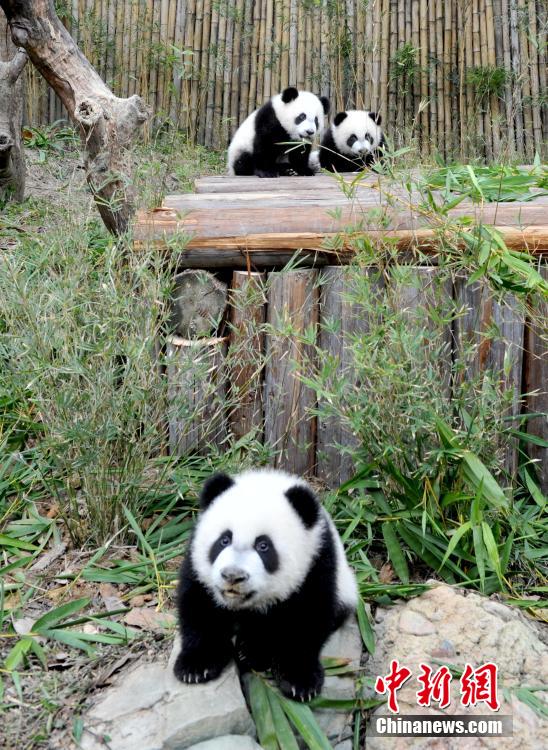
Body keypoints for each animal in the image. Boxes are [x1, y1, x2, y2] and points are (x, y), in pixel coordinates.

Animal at [173, 469, 357, 702]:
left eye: (263, 546)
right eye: (224, 540)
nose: (233, 576)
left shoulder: (317, 560)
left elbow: (306, 618)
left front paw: (299, 680)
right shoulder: (196, 563)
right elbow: (199, 606)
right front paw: (197, 666)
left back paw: (253, 650)